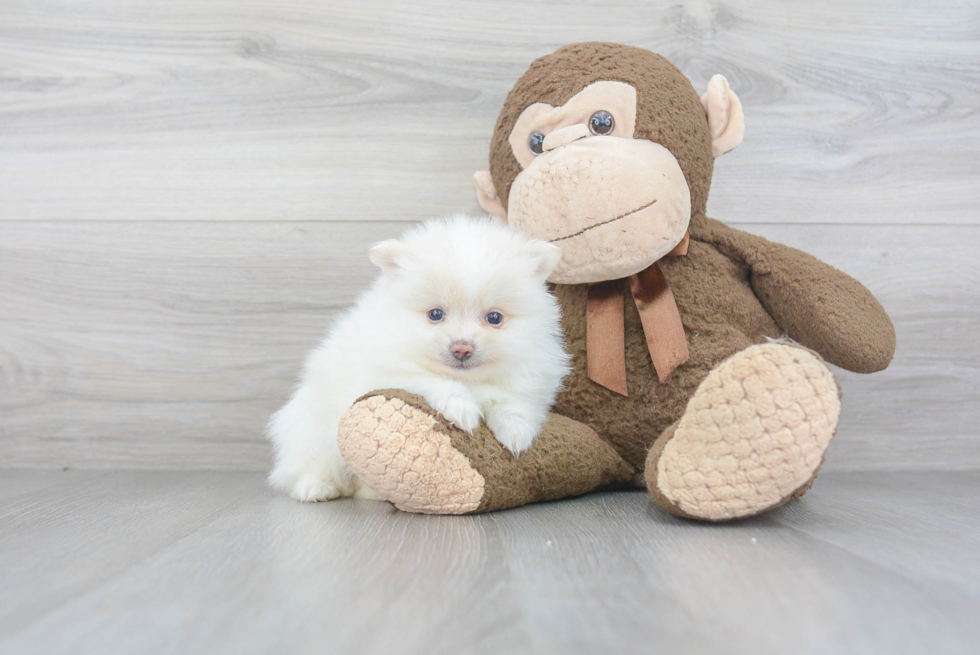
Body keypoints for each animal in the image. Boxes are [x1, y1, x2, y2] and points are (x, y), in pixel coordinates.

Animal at [268, 215, 576, 502]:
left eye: (494, 318)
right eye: (435, 314)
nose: (462, 348)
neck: (470, 380)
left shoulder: (530, 374)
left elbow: (514, 402)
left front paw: (515, 433)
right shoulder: (387, 372)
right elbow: (432, 380)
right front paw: (461, 408)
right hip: (308, 433)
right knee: (306, 468)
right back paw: (315, 487)